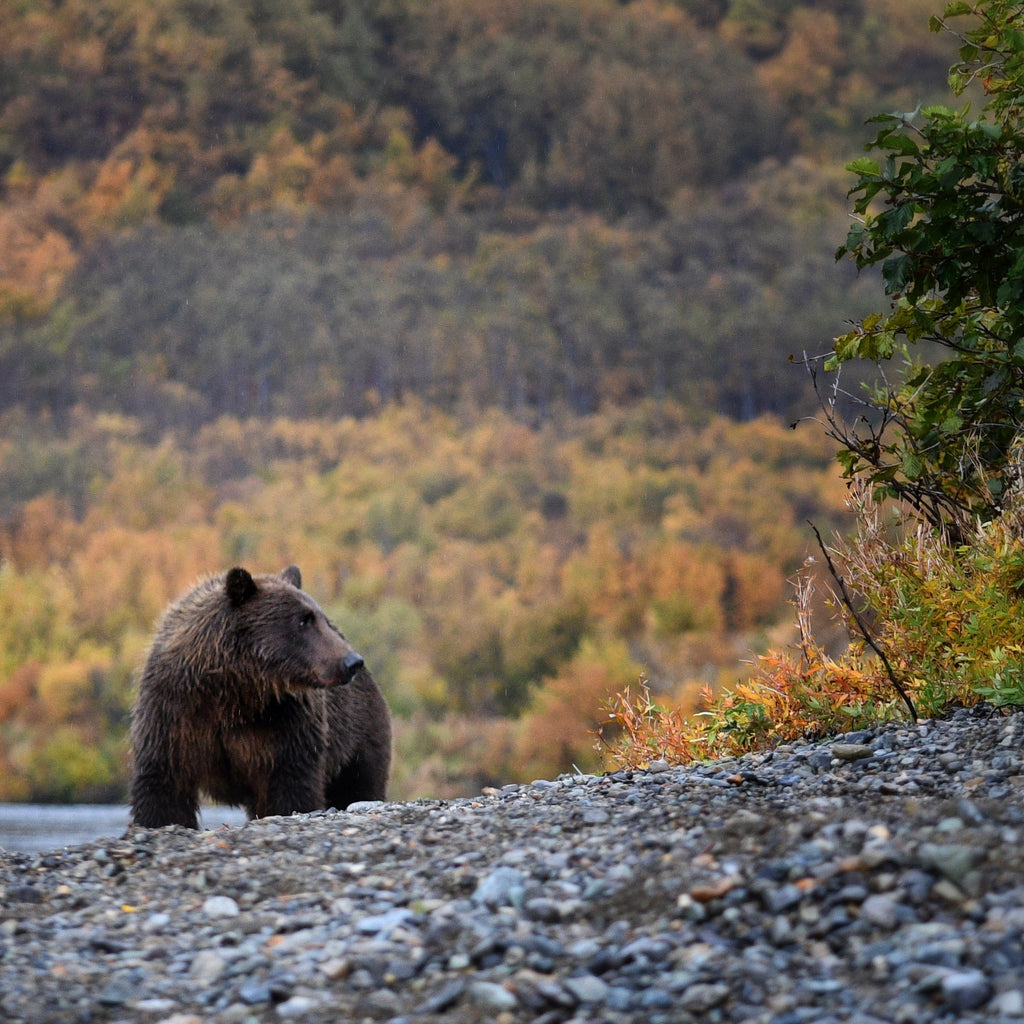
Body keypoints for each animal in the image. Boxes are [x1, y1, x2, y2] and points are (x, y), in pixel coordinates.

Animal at [131, 565, 391, 827]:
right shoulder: (175, 712)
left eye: (323, 619)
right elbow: (164, 783)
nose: (352, 661)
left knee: (359, 783)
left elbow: (291, 784)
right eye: (303, 620)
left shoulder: (286, 722)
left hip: (357, 733)